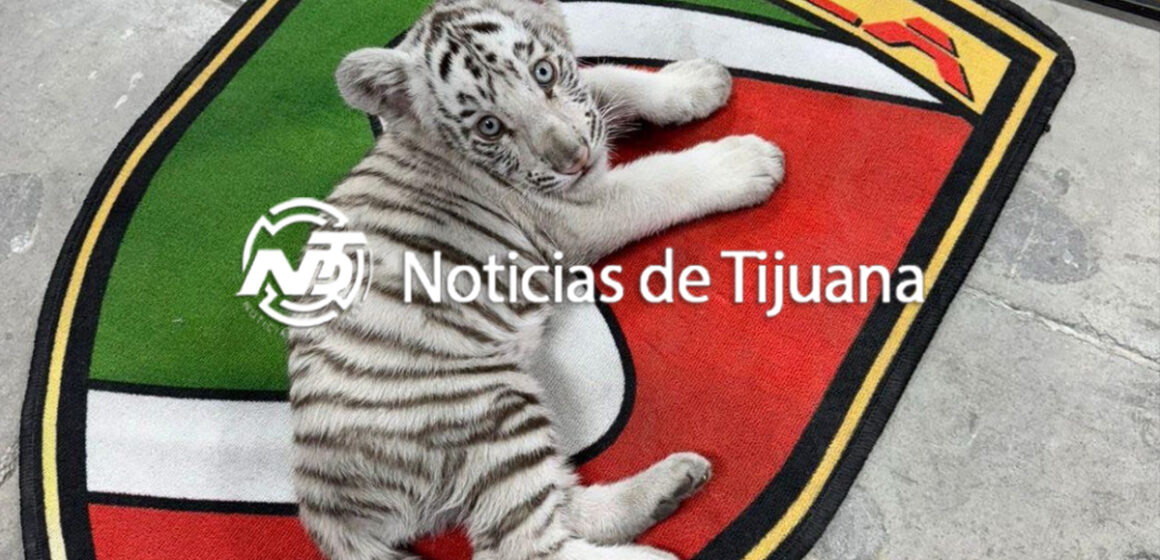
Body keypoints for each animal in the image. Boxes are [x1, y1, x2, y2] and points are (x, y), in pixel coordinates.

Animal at [286, 1, 785, 559]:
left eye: (543, 73)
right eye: (489, 127)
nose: (575, 159)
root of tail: (319, 492)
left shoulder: (585, 104)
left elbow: (613, 77)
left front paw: (698, 79)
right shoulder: (580, 212)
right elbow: (659, 181)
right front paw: (744, 162)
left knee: (565, 506)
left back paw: (671, 486)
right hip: (487, 412)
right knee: (523, 542)